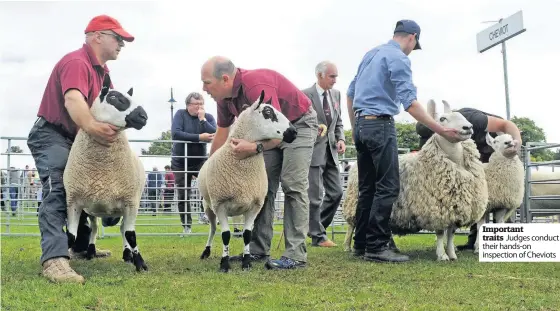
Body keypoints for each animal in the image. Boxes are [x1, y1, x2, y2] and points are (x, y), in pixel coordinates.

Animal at [63, 86, 149, 272]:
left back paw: (127, 255)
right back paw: (91, 252)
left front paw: (140, 264)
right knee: (95, 228)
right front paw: (63, 259)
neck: (101, 169)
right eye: (114, 97)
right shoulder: (73, 201)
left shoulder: (131, 202)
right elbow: (71, 235)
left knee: (123, 229)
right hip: (92, 210)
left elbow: (131, 235)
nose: (143, 116)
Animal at [200, 90, 300, 272]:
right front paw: (224, 264)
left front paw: (246, 262)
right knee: (212, 229)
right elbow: (225, 235)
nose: (294, 132)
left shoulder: (254, 206)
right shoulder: (221, 205)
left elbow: (247, 235)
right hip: (209, 206)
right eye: (268, 112)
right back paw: (206, 251)